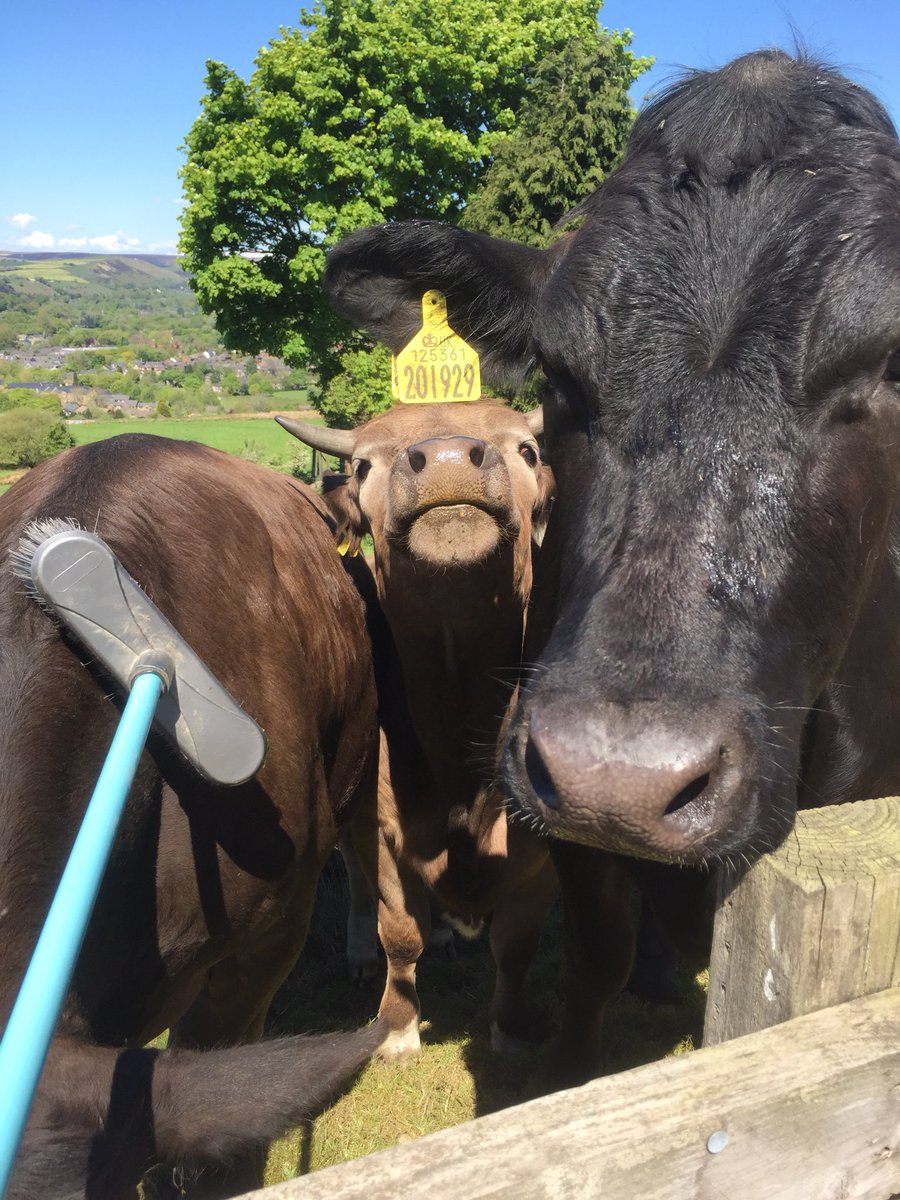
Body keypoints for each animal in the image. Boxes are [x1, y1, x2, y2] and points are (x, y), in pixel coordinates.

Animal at [278, 401, 557, 1057]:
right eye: (361, 466)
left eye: (527, 451)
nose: (449, 458)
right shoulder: (381, 826)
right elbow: (400, 933)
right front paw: (398, 1029)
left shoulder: (539, 852)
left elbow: (515, 946)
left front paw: (509, 1030)